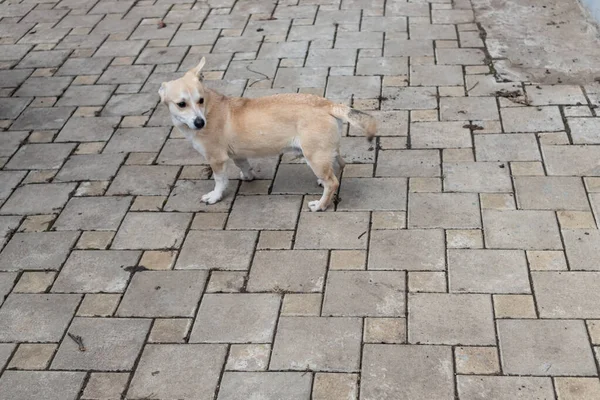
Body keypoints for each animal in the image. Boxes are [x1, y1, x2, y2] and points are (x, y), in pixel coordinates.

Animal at [157, 58, 378, 212]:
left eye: (200, 100)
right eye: (182, 104)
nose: (200, 123)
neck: (209, 109)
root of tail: (328, 104)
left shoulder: (216, 159)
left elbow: (220, 181)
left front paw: (215, 196)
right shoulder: (238, 154)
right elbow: (244, 165)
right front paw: (248, 176)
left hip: (314, 156)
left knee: (333, 182)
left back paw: (320, 205)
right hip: (325, 151)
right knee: (338, 166)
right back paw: (323, 183)